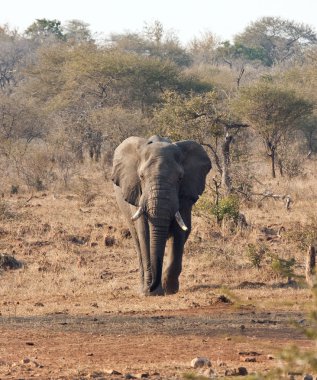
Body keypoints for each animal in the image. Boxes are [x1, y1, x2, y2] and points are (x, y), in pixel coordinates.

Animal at [111, 135, 210, 296]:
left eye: (180, 178)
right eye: (141, 176)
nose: (152, 287)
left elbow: (179, 233)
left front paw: (170, 290)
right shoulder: (138, 194)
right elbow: (144, 233)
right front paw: (150, 292)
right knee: (137, 241)